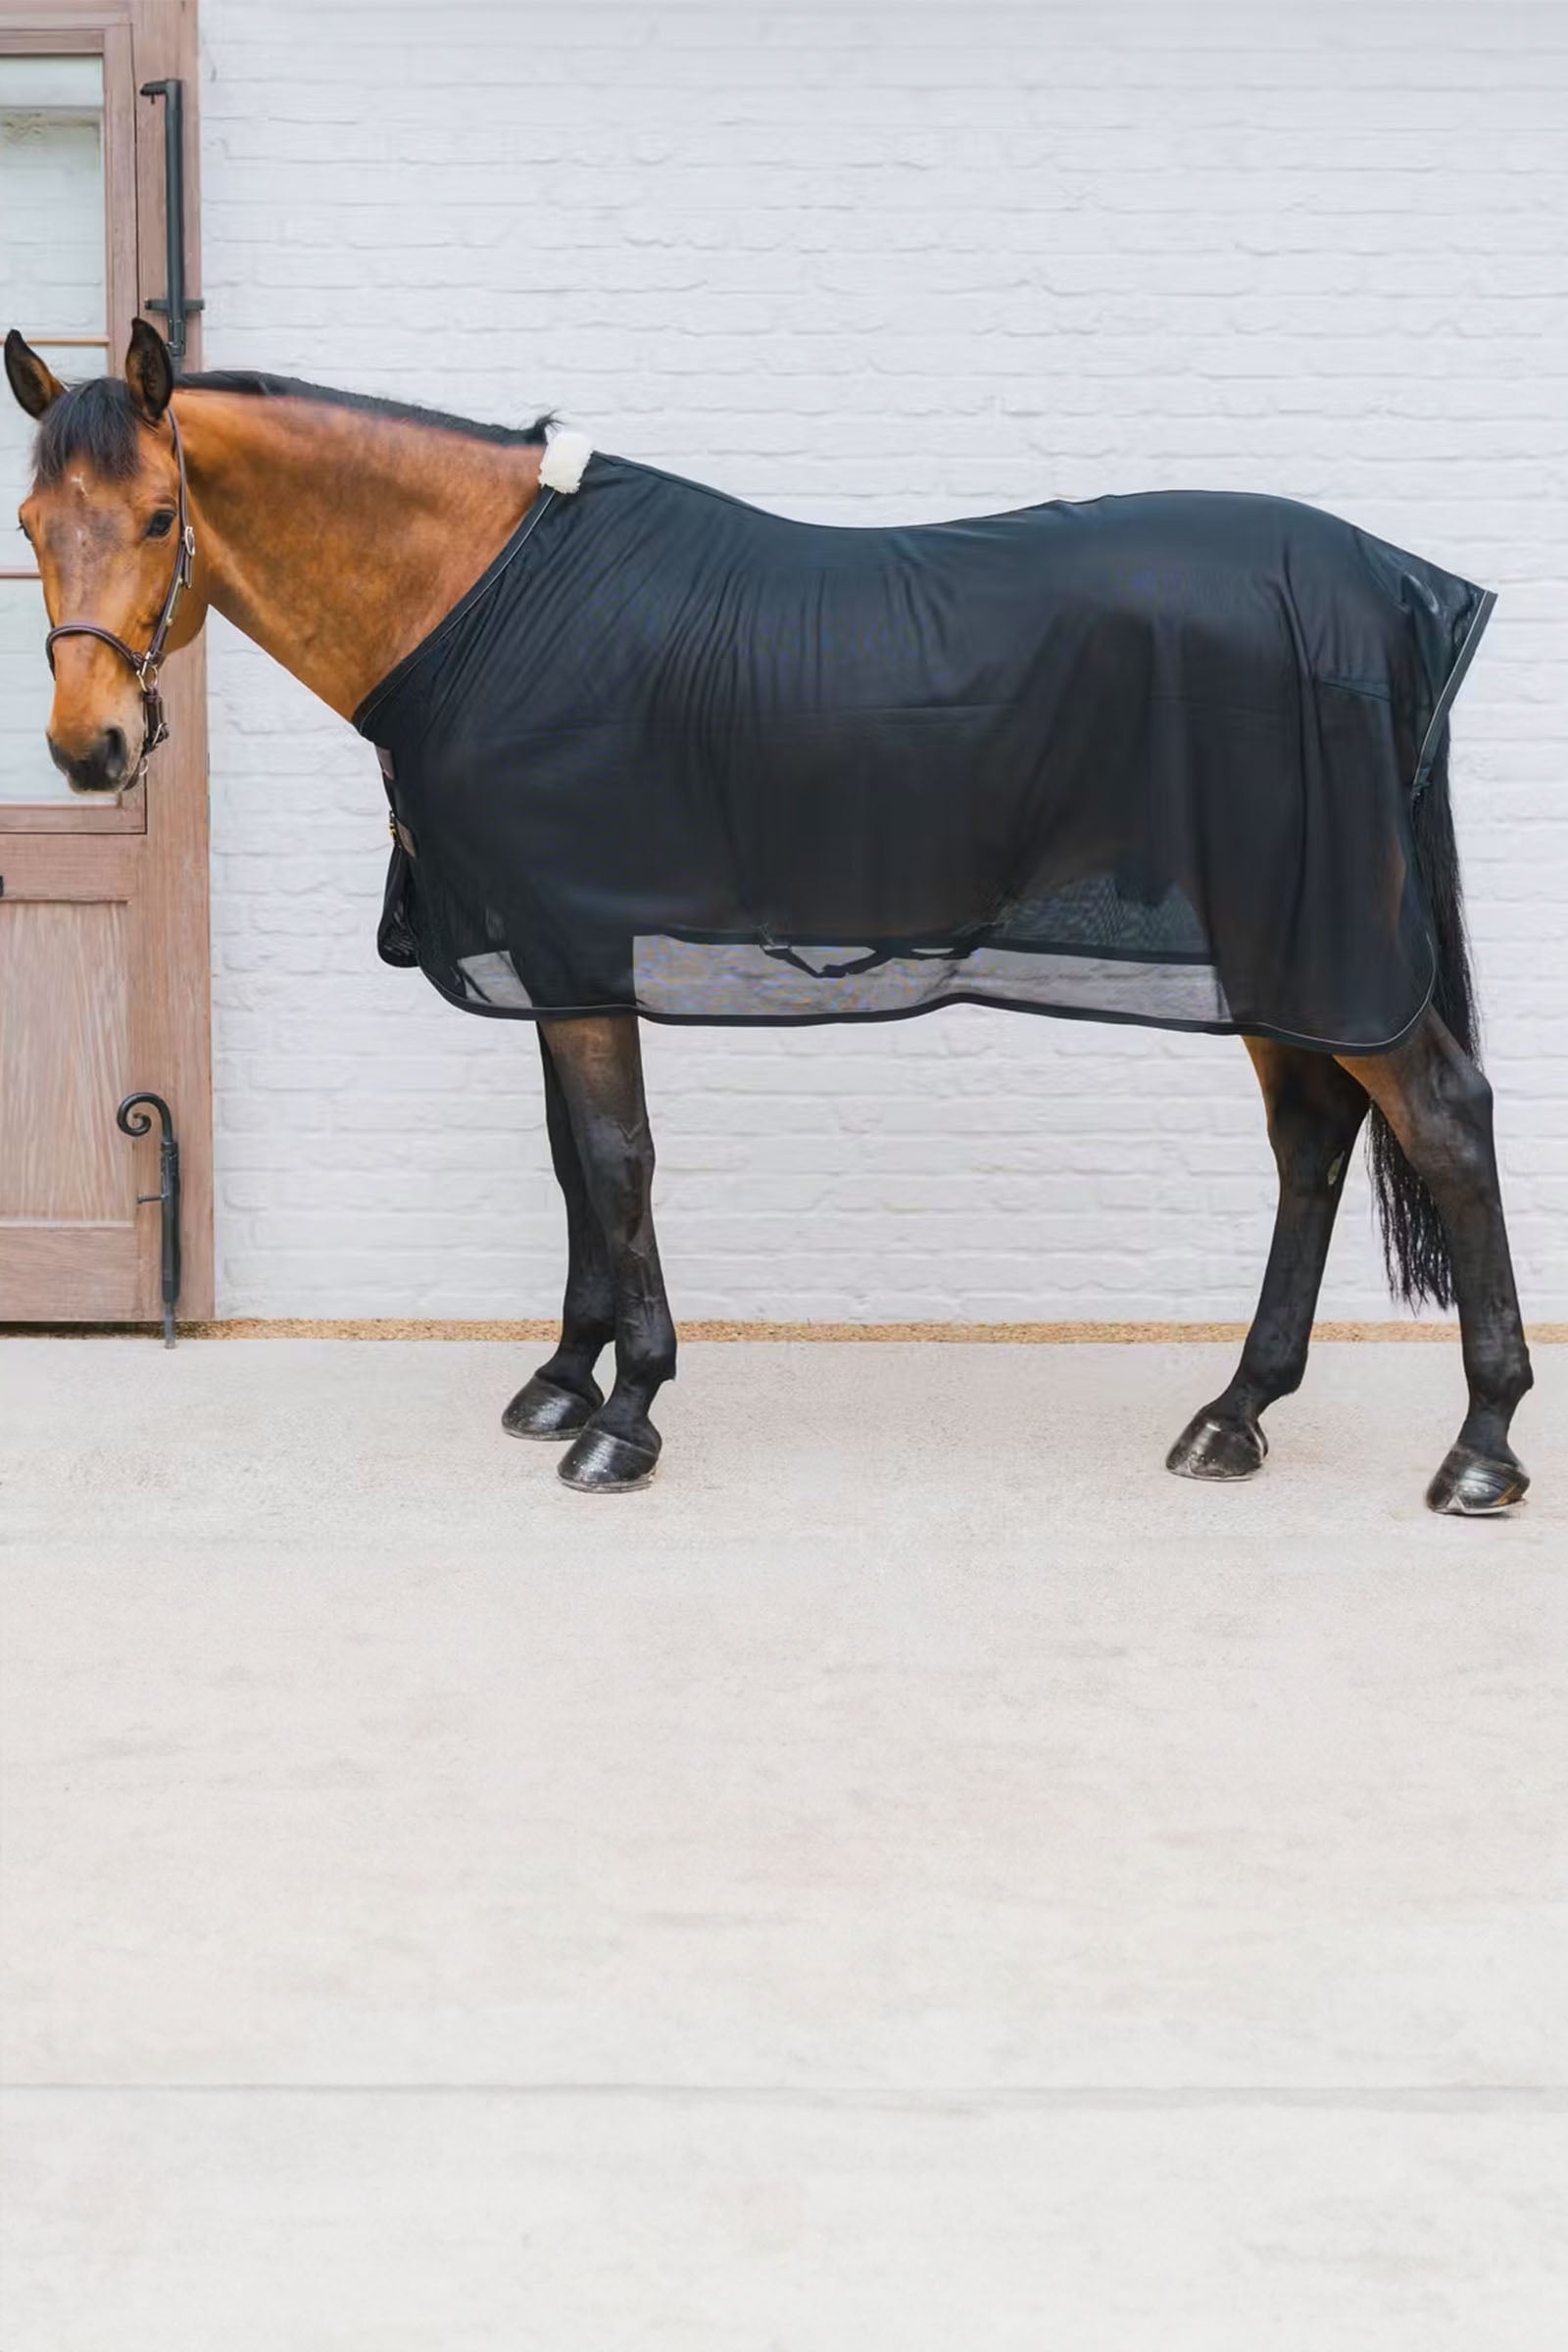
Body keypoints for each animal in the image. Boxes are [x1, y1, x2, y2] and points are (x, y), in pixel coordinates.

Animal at [6, 320, 1533, 1510]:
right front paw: (564, 1380)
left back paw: (1480, 1447)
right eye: (28, 526)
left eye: (159, 517)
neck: (480, 604)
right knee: (1313, 1139)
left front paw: (627, 1418)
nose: (88, 749)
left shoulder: (573, 944)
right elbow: (573, 1167)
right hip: (1274, 954)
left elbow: (617, 1160)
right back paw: (1235, 1414)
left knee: (1442, 1120)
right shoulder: (556, 956)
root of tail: (1398, 597)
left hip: (1315, 941)